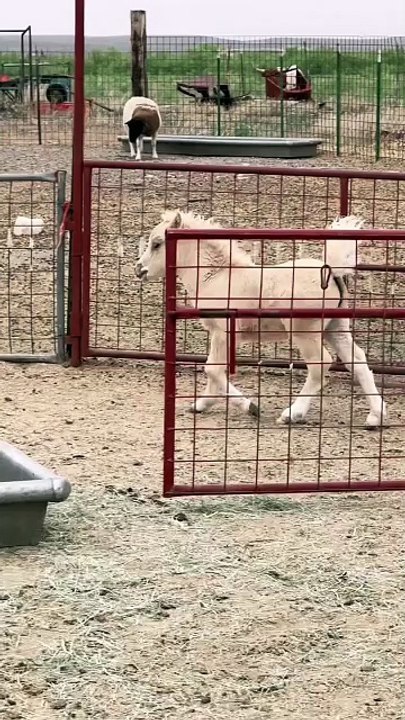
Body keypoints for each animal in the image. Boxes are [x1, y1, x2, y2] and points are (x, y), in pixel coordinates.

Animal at [136, 210, 387, 429]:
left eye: (157, 243)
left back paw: (292, 413)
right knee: (358, 361)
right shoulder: (219, 334)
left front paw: (250, 406)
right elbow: (215, 369)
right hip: (336, 328)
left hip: (305, 333)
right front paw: (202, 404)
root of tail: (331, 272)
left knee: (320, 365)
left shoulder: (224, 332)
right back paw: (376, 416)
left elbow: (212, 369)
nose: (139, 270)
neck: (217, 276)